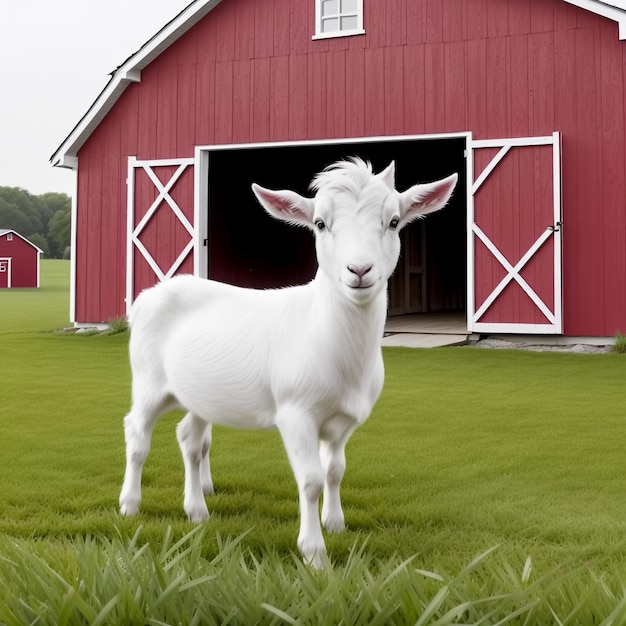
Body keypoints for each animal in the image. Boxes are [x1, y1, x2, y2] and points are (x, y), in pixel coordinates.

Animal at [119, 157, 456, 564]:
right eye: (321, 223)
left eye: (393, 221)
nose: (359, 270)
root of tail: (148, 294)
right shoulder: (295, 412)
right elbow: (310, 480)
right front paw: (314, 553)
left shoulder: (345, 420)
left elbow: (335, 470)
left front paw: (335, 523)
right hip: (148, 380)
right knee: (137, 433)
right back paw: (130, 504)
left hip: (200, 394)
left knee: (190, 439)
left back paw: (197, 510)